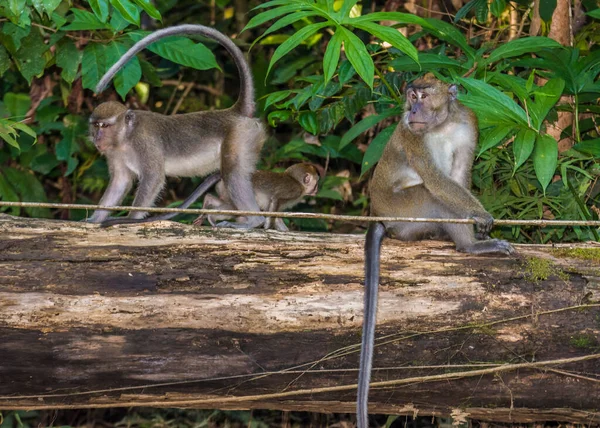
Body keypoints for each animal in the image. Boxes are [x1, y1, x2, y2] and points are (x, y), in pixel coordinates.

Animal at [88, 24, 266, 229]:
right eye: (96, 126)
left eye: (105, 126)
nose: (98, 137)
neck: (126, 138)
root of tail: (236, 112)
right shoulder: (113, 152)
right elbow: (120, 181)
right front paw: (93, 219)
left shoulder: (144, 142)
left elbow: (153, 178)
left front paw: (131, 219)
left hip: (240, 136)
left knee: (232, 173)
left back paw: (253, 220)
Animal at [356, 74, 516, 428]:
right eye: (411, 96)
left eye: (423, 96)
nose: (412, 109)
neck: (443, 124)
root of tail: (377, 215)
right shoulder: (412, 136)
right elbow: (440, 183)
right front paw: (480, 217)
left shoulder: (469, 123)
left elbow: (459, 174)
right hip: (405, 212)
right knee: (434, 197)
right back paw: (470, 246)